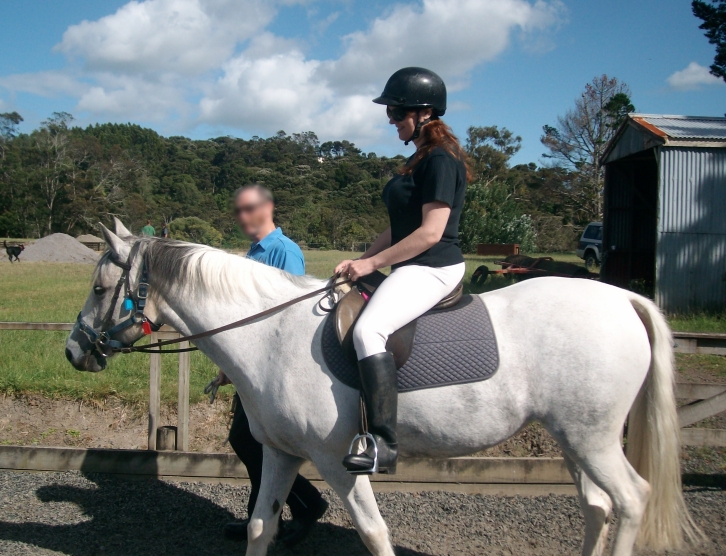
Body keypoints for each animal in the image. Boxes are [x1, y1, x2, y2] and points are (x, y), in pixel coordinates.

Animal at [68, 222, 704, 556]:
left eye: (100, 287)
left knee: (630, 500)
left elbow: (374, 532)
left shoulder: (337, 461)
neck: (269, 332)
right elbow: (260, 526)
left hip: (592, 437)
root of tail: (623, 297)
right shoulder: (281, 454)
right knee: (598, 506)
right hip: (575, 438)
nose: (74, 351)